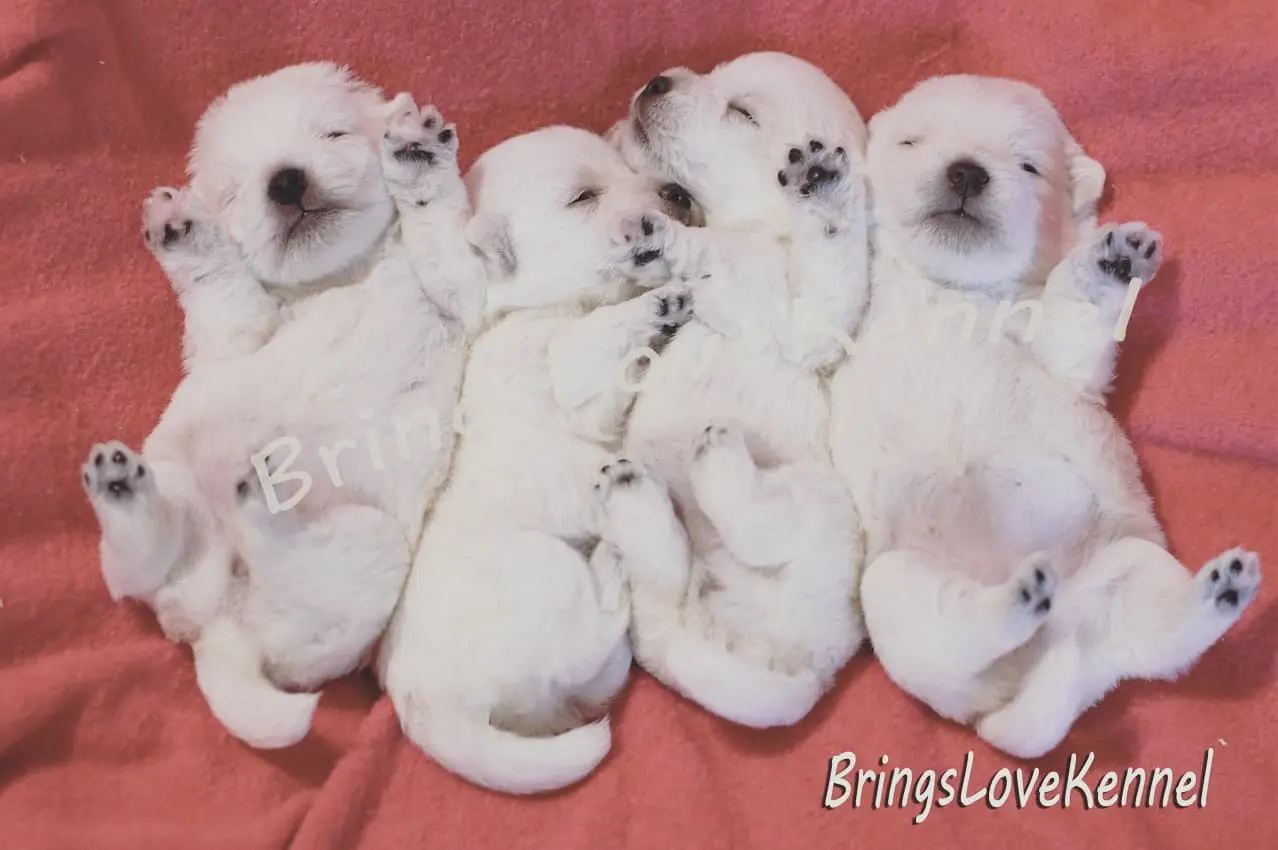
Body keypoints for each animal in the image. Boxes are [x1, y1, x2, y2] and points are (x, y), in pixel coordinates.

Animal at [79, 63, 483, 748]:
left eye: (333, 132)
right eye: (234, 191)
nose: (285, 179)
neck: (342, 272)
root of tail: (220, 629)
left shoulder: (462, 291)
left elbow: (446, 247)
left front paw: (418, 154)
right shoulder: (235, 333)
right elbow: (225, 289)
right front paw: (184, 231)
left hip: (362, 550)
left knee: (184, 566)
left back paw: (199, 495)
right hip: (203, 507)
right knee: (134, 569)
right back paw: (151, 493)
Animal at [376, 125, 700, 794]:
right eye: (582, 196)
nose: (678, 194)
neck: (536, 308)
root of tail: (424, 703)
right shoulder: (570, 370)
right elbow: (600, 336)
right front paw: (661, 297)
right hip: (545, 573)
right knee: (596, 632)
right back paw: (615, 560)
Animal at [604, 52, 871, 727]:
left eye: (742, 112)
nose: (656, 82)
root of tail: (805, 674)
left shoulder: (810, 322)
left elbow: (771, 253)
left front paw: (824, 181)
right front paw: (653, 243)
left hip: (820, 499)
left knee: (764, 529)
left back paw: (717, 460)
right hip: (661, 612)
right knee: (668, 576)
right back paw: (634, 498)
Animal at [828, 74, 1262, 758]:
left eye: (1028, 165)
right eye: (911, 141)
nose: (967, 171)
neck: (955, 290)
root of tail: (1051, 663)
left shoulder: (1061, 351)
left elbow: (1074, 317)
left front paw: (1111, 262)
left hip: (1127, 566)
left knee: (1155, 635)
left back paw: (1217, 590)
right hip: (898, 590)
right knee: (953, 634)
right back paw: (1017, 598)